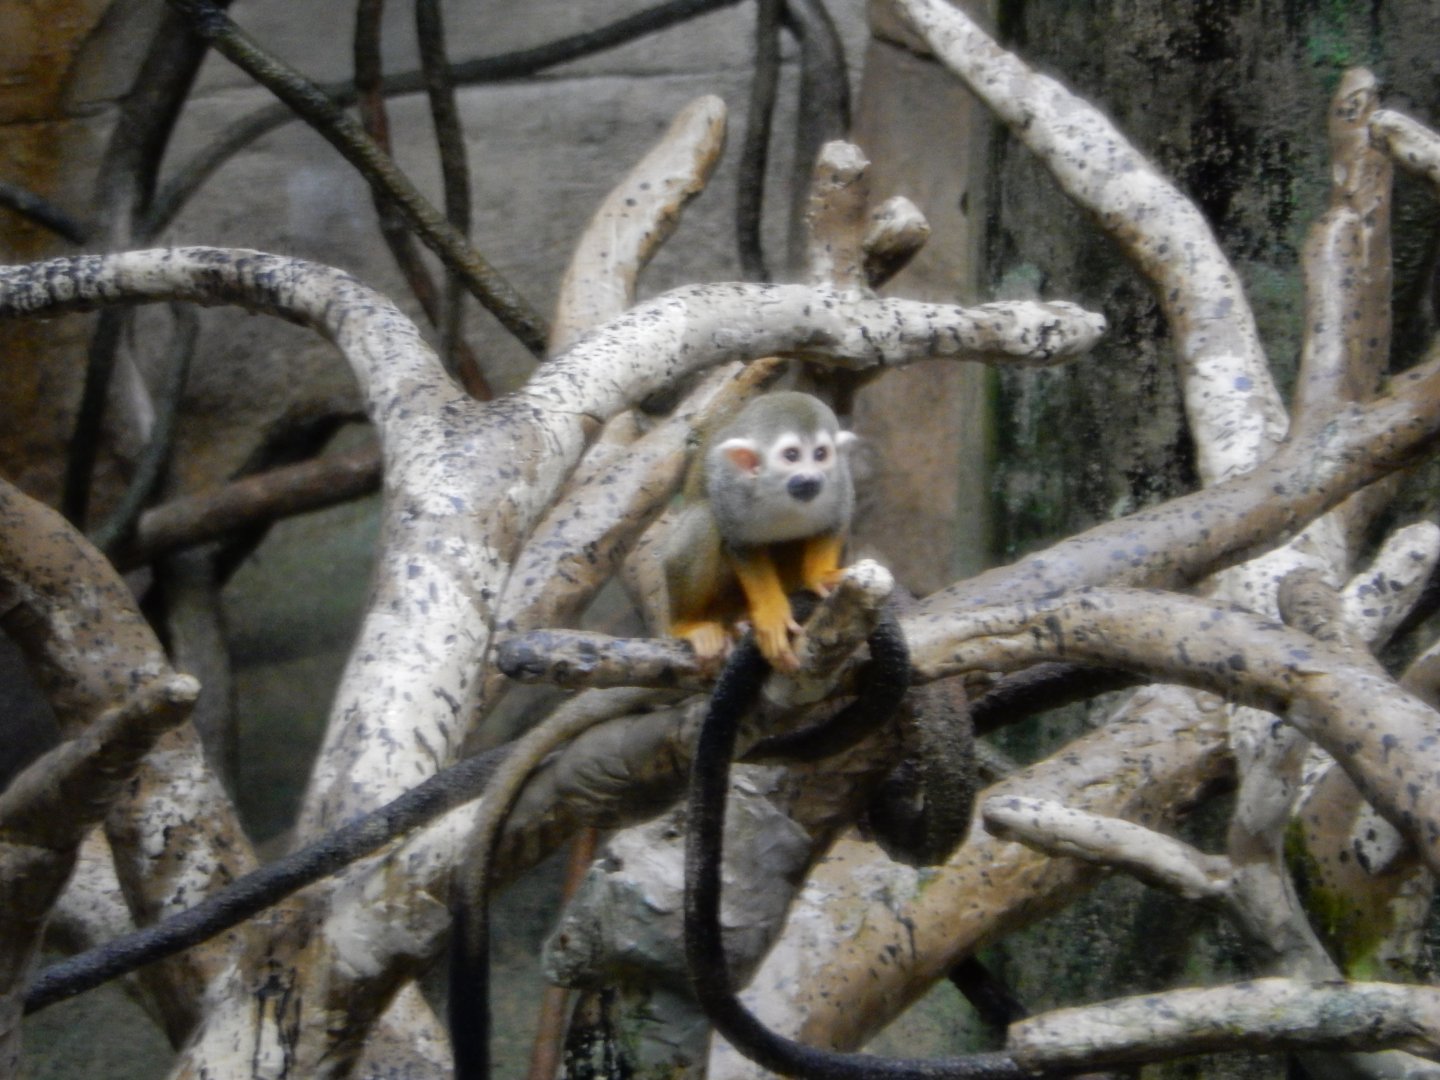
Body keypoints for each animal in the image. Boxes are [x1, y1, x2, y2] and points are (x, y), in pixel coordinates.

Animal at [662, 391, 858, 672]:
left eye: (821, 454)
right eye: (791, 455)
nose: (811, 478)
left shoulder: (838, 481)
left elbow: (835, 523)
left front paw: (821, 576)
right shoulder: (731, 491)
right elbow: (741, 545)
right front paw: (772, 615)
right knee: (703, 518)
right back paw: (687, 625)